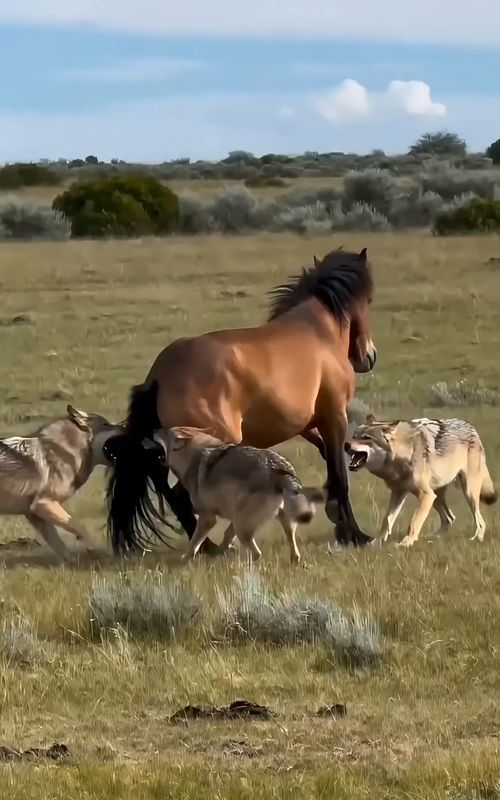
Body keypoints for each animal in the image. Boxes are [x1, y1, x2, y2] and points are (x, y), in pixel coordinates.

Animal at [0, 405, 122, 562]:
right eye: (106, 424)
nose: (125, 426)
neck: (65, 451)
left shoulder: (35, 515)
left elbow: (61, 548)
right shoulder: (43, 504)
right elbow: (81, 529)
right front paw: (100, 553)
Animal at [154, 426, 324, 563]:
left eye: (165, 432)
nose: (154, 430)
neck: (192, 457)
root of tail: (277, 467)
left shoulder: (207, 518)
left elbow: (194, 543)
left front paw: (186, 558)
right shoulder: (232, 517)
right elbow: (227, 535)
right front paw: (221, 550)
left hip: (242, 526)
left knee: (258, 554)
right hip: (279, 521)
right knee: (292, 548)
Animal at [345, 415, 497, 546]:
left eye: (366, 438)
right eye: (354, 436)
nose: (346, 444)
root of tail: (472, 428)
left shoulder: (425, 495)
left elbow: (413, 523)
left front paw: (406, 543)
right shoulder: (398, 493)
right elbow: (387, 521)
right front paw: (376, 543)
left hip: (467, 492)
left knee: (480, 521)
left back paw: (476, 539)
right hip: (436, 496)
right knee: (449, 518)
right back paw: (433, 539)